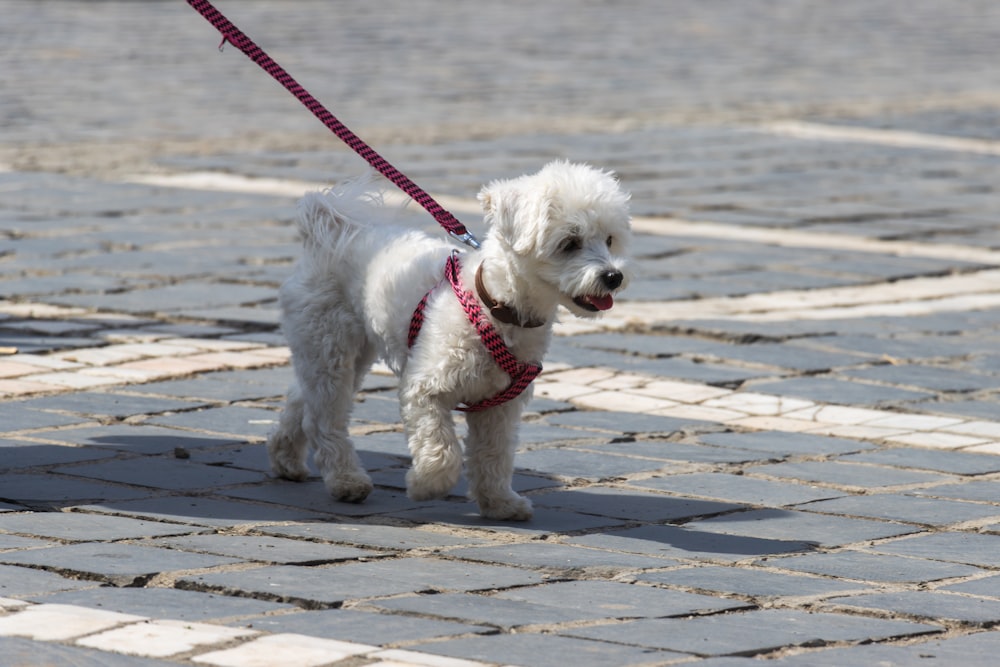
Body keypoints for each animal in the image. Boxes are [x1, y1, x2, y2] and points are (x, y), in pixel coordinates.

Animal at [266, 163, 632, 520]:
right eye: (570, 243)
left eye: (609, 239)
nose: (614, 277)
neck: (494, 307)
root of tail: (332, 230)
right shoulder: (424, 390)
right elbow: (443, 452)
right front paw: (425, 485)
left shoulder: (500, 405)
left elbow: (493, 455)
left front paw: (499, 503)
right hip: (331, 345)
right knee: (324, 418)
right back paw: (346, 480)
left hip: (339, 352)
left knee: (303, 399)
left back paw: (286, 458)